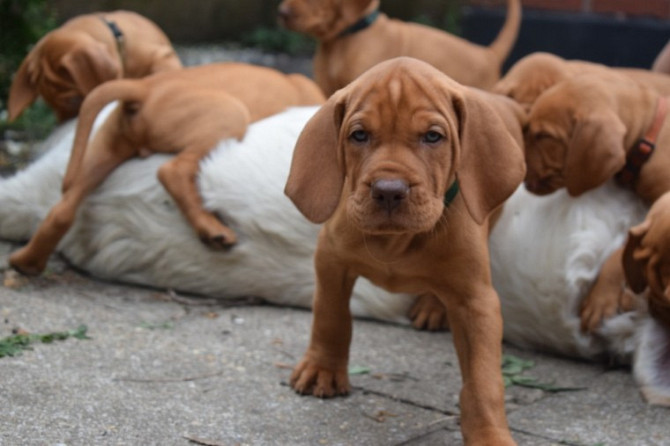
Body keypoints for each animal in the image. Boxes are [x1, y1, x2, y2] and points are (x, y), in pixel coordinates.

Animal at [8, 62, 326, 276]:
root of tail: (145, 88)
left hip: (104, 149)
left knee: (62, 209)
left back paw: (27, 262)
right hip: (228, 114)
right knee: (172, 171)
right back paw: (213, 230)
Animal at [286, 57, 528, 446]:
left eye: (433, 136)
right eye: (359, 135)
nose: (388, 190)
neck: (396, 242)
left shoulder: (477, 301)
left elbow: (483, 380)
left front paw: (489, 435)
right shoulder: (330, 260)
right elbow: (330, 316)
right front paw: (322, 368)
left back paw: (432, 307)